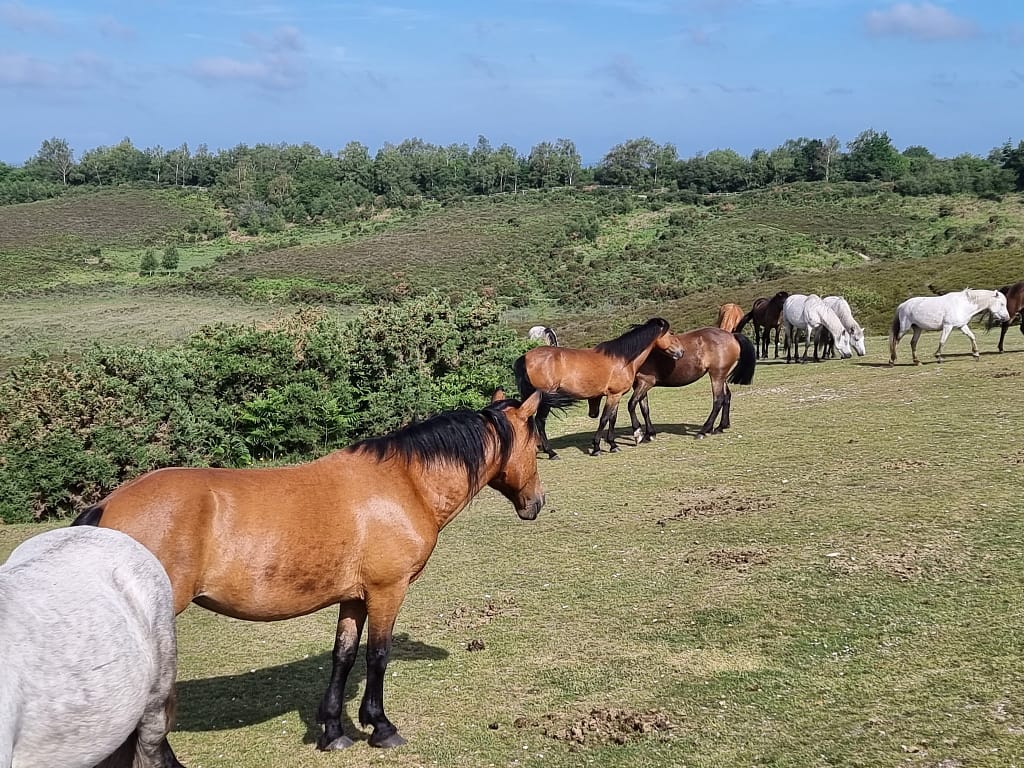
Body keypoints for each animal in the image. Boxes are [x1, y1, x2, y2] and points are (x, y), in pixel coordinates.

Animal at [70, 391, 545, 754]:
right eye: (537, 446)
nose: (536, 503)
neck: (403, 484)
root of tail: (106, 508)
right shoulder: (387, 590)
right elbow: (378, 655)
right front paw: (381, 727)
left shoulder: (355, 597)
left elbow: (343, 656)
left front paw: (334, 732)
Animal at [514, 318, 685, 458]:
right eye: (670, 333)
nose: (681, 351)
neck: (622, 359)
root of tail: (525, 357)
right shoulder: (614, 395)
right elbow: (604, 419)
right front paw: (597, 448)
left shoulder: (616, 395)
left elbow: (612, 419)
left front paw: (613, 445)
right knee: (540, 421)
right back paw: (551, 452)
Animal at [627, 327, 757, 443]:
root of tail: (732, 336)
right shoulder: (639, 385)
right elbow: (645, 409)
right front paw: (650, 434)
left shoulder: (645, 382)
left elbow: (631, 404)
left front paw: (638, 434)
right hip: (722, 376)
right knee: (727, 397)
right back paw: (721, 427)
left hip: (717, 375)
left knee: (718, 400)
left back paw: (704, 431)